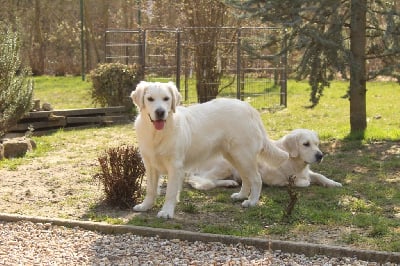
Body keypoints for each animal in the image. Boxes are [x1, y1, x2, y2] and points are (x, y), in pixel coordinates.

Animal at [130, 81, 288, 218]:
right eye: (150, 99)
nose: (160, 112)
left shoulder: (175, 166)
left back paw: (252, 201)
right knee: (246, 178)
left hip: (243, 155)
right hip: (233, 156)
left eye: (166, 99)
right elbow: (151, 189)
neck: (157, 134)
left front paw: (166, 212)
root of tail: (249, 108)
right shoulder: (150, 165)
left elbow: (170, 192)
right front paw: (145, 206)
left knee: (256, 178)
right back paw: (241, 195)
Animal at [186, 128, 342, 189]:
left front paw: (334, 183)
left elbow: (320, 176)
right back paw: (228, 182)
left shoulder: (308, 171)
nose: (320, 155)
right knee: (202, 180)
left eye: (317, 143)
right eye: (306, 144)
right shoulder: (276, 179)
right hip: (225, 165)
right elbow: (303, 182)